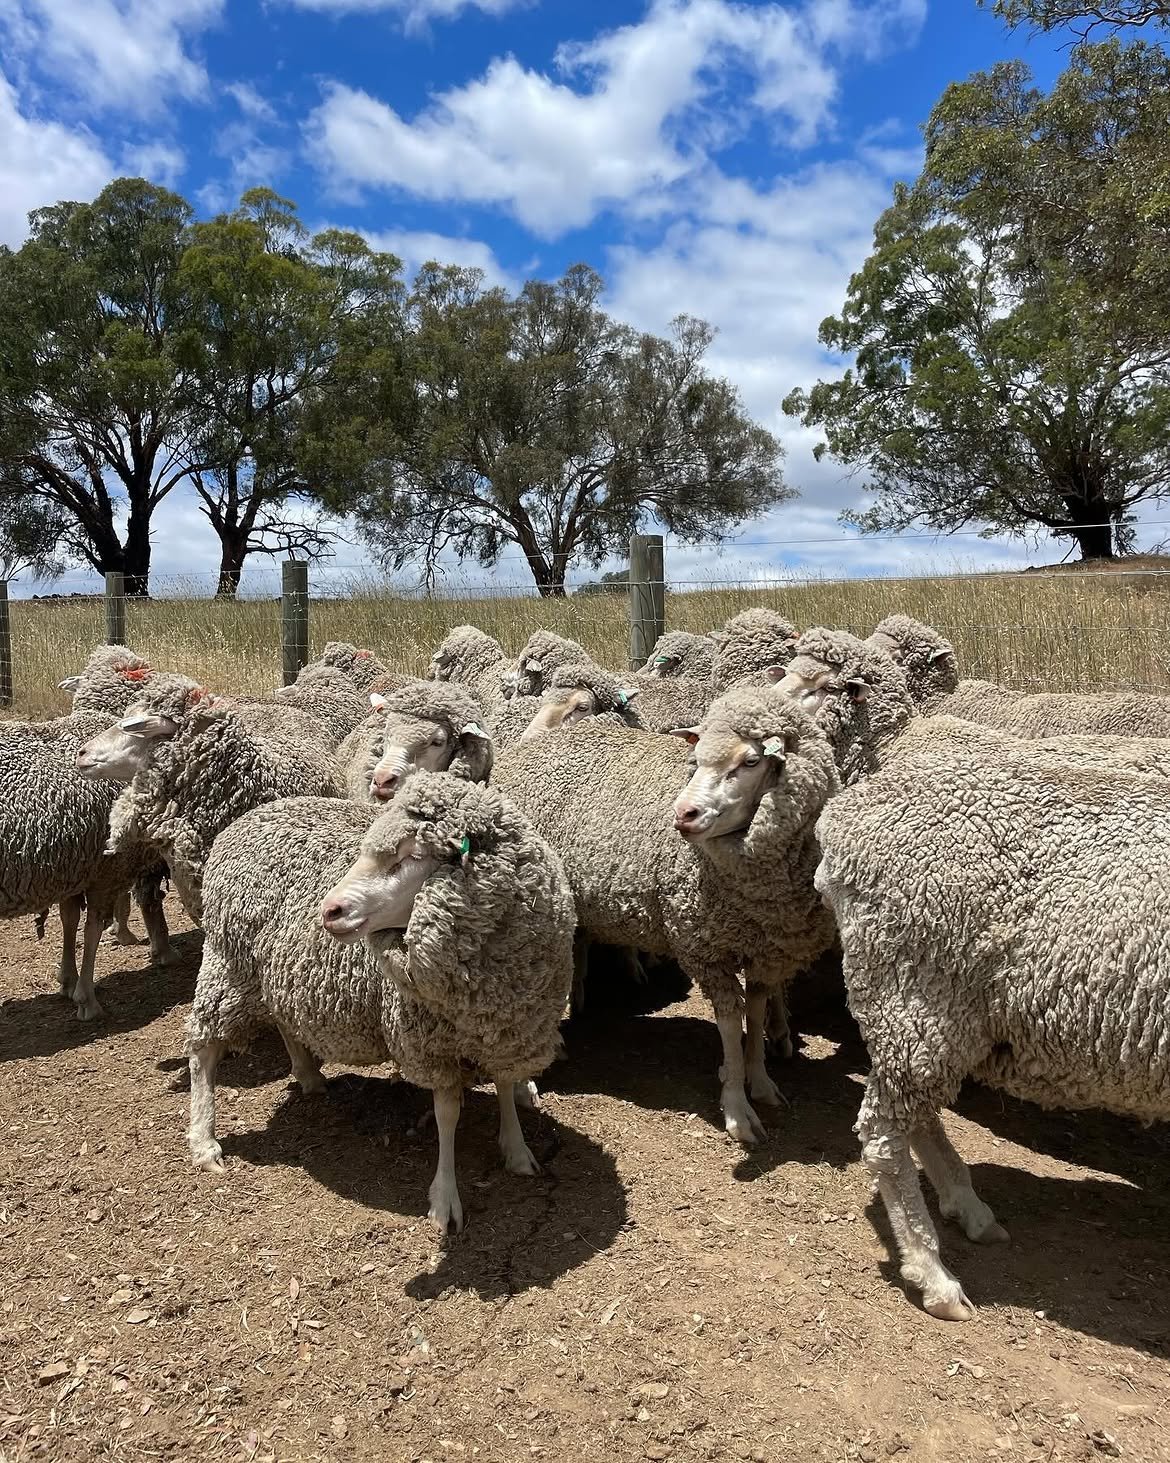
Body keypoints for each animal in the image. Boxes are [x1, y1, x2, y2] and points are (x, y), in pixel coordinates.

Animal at [186, 772, 575, 1231]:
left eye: (412, 855)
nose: (329, 910)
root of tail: (244, 820)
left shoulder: (510, 1027)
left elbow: (503, 1081)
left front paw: (516, 1150)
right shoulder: (429, 1044)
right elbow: (447, 1113)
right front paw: (445, 1199)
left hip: (275, 971)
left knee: (283, 1021)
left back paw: (309, 1076)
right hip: (229, 963)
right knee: (203, 1050)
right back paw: (204, 1141)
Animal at [494, 688, 839, 1145]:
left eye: (751, 761)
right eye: (698, 756)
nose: (684, 813)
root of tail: (516, 755)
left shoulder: (766, 951)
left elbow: (756, 1011)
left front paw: (762, 1081)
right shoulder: (705, 948)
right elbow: (731, 1025)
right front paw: (737, 1109)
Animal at [815, 726, 1170, 1321]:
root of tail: (849, 813)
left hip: (925, 1014)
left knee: (916, 1115)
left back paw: (969, 1209)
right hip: (917, 989)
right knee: (885, 1132)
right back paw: (933, 1273)